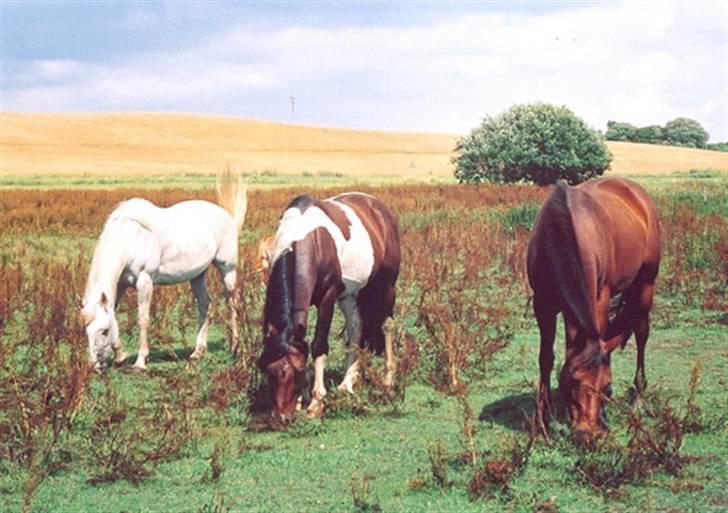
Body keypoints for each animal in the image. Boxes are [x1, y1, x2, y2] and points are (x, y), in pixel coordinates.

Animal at [81, 172, 247, 372]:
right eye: (86, 331)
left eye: (104, 331)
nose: (94, 366)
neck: (131, 238)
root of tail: (227, 216)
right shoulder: (120, 285)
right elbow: (113, 313)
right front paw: (121, 356)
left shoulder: (145, 282)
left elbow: (143, 319)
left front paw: (140, 362)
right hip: (197, 275)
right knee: (204, 304)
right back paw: (198, 352)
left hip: (227, 269)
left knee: (232, 303)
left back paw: (235, 347)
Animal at [258, 191, 400, 420]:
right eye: (268, 371)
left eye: (297, 371)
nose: (282, 417)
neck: (303, 237)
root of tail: (377, 206)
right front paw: (302, 400)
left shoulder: (327, 298)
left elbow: (319, 346)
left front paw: (316, 402)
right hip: (349, 294)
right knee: (356, 327)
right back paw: (347, 383)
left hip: (386, 285)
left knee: (387, 325)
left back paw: (388, 380)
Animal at [528, 178, 664, 442]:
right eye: (570, 383)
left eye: (607, 387)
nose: (586, 436)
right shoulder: (543, 305)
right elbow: (546, 358)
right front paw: (543, 419)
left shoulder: (600, 299)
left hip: (645, 285)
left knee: (641, 333)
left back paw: (638, 398)